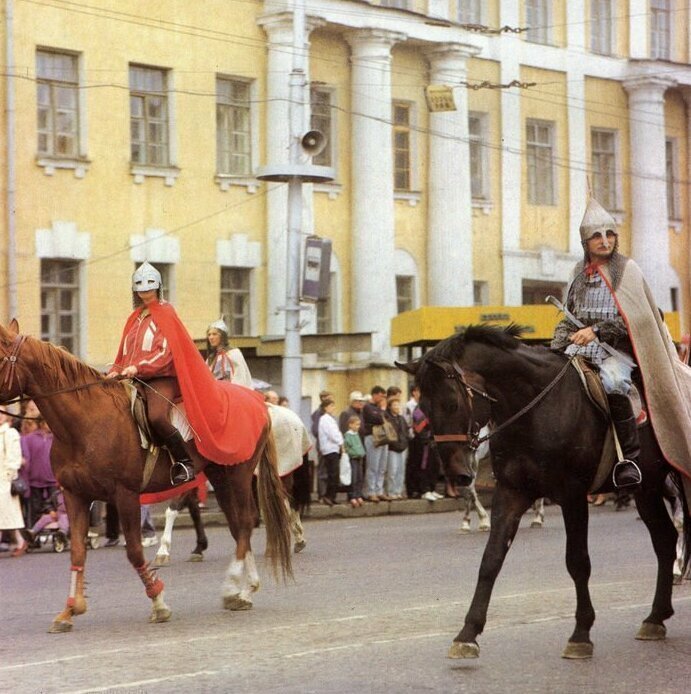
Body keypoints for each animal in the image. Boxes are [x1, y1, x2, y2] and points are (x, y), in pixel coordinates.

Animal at [0, 324, 292, 632]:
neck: (86, 424)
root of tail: (259, 403)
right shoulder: (74, 495)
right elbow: (77, 551)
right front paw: (69, 610)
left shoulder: (125, 495)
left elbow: (134, 551)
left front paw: (159, 603)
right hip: (221, 476)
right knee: (238, 527)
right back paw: (244, 591)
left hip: (239, 475)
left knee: (246, 522)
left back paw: (234, 586)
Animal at [398, 326, 688, 664]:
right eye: (424, 408)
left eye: (452, 403)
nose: (456, 474)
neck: (536, 408)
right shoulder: (511, 493)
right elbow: (491, 559)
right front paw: (467, 634)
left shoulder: (573, 496)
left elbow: (578, 561)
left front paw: (580, 634)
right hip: (647, 489)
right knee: (665, 540)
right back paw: (655, 617)